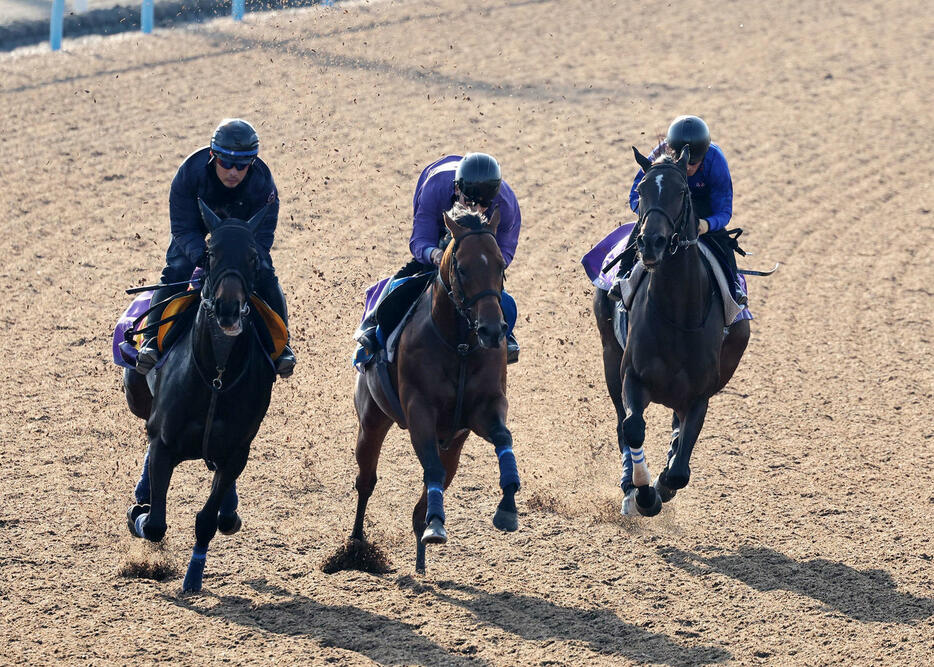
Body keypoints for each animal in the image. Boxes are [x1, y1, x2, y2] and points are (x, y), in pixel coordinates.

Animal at [124, 201, 278, 592]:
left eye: (253, 256)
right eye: (210, 253)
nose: (227, 308)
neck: (216, 377)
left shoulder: (236, 450)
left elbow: (208, 520)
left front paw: (193, 577)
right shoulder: (164, 441)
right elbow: (155, 524)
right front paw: (139, 513)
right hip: (137, 397)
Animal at [600, 147, 752, 516]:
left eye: (681, 192)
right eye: (642, 191)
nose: (651, 242)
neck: (678, 316)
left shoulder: (700, 395)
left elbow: (680, 471)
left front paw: (662, 485)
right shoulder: (632, 376)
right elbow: (632, 428)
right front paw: (641, 492)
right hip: (609, 353)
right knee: (621, 423)